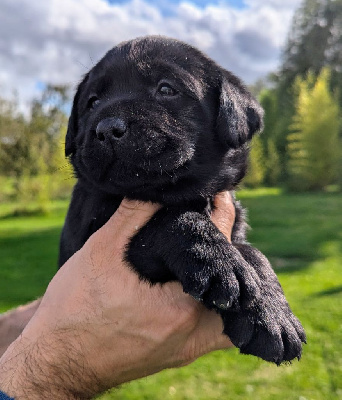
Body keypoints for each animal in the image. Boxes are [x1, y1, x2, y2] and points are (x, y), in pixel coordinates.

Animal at [60, 36, 306, 364]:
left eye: (166, 89)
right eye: (93, 102)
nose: (107, 128)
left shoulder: (234, 223)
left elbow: (254, 254)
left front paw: (272, 315)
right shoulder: (94, 230)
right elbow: (168, 219)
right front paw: (219, 260)